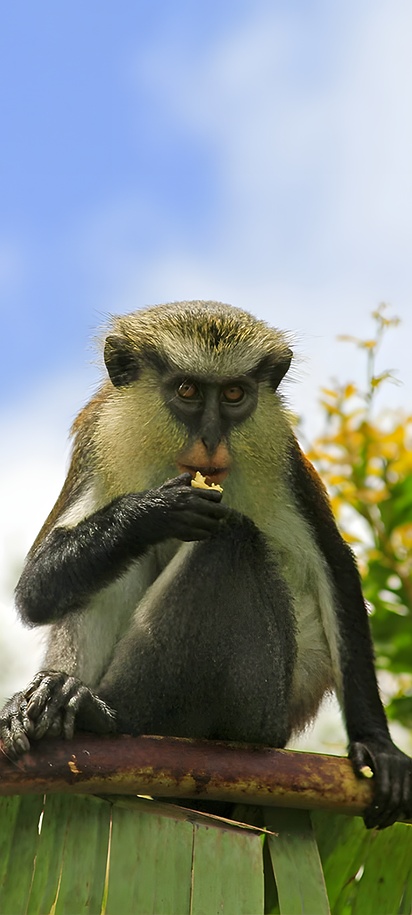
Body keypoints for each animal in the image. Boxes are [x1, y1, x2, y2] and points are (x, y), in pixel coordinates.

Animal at [1, 300, 411, 830]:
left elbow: (335, 567)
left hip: (260, 705)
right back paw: (57, 700)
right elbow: (35, 589)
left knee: (229, 541)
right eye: (188, 391)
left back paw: (107, 714)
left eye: (234, 394)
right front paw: (151, 512)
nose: (212, 439)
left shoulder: (285, 461)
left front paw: (378, 746)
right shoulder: (95, 443)